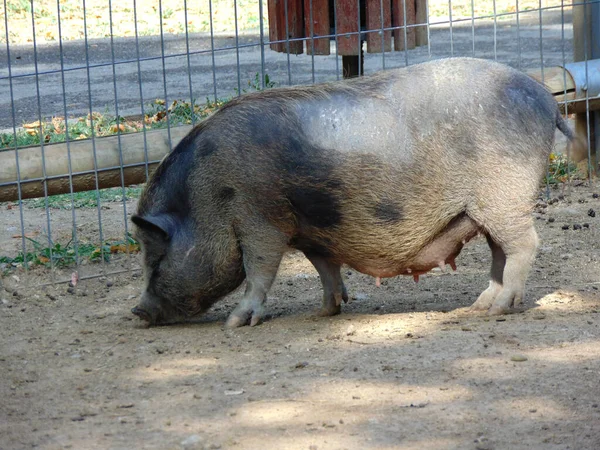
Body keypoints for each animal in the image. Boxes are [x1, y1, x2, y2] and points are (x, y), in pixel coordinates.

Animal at [132, 56, 576, 326]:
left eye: (156, 258)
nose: (137, 311)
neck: (206, 196)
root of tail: (546, 99)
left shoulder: (261, 218)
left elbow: (260, 269)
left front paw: (235, 322)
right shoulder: (311, 232)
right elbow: (325, 269)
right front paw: (322, 313)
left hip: (505, 198)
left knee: (525, 244)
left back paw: (498, 309)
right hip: (487, 208)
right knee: (500, 252)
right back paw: (478, 306)